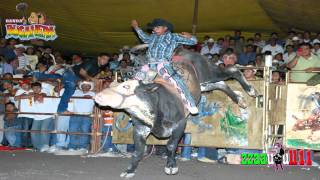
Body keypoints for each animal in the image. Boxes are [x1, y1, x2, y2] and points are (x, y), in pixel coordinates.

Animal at [93, 48, 258, 178]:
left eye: (126, 86)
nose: (98, 96)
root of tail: (185, 52)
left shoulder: (180, 124)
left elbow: (171, 145)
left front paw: (171, 166)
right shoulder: (139, 129)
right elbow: (138, 151)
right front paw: (130, 170)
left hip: (209, 72)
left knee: (232, 70)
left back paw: (250, 90)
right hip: (204, 85)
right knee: (221, 84)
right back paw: (240, 99)